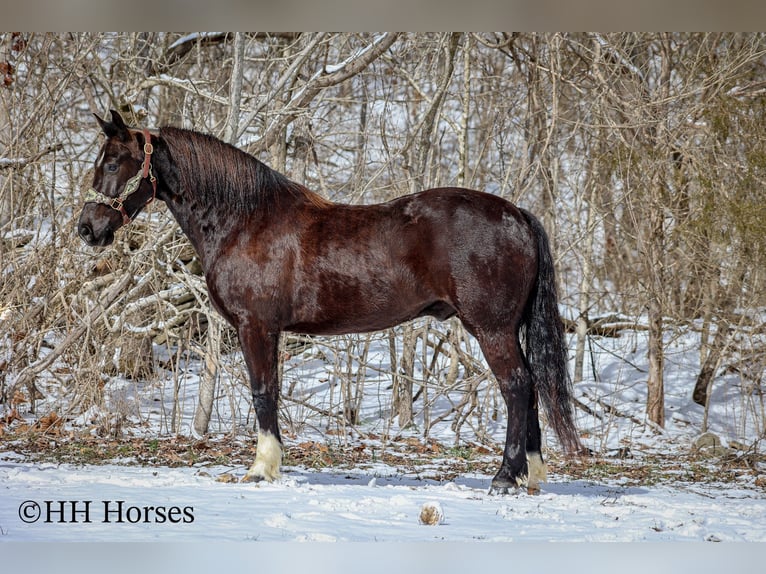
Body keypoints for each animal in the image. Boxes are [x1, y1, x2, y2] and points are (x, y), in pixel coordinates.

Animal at [77, 110, 581, 494]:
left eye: (114, 163)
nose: (87, 228)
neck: (245, 220)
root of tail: (517, 215)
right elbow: (271, 391)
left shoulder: (256, 327)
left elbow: (263, 392)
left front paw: (261, 468)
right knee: (530, 385)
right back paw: (531, 475)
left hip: (491, 328)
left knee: (516, 386)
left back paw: (505, 476)